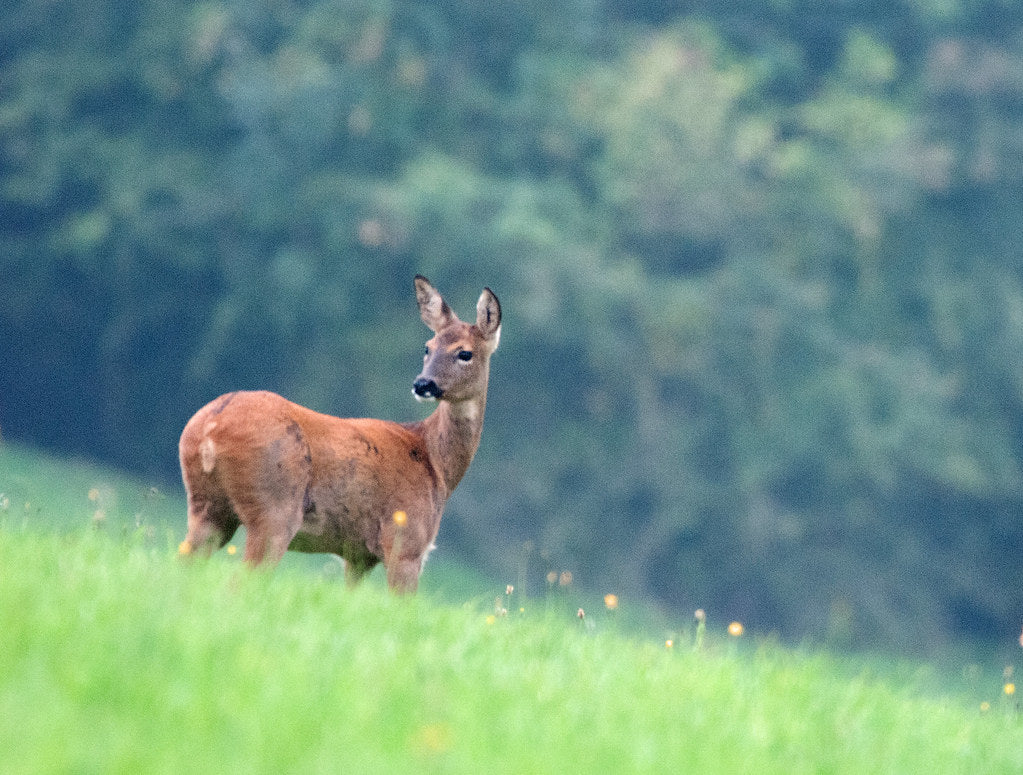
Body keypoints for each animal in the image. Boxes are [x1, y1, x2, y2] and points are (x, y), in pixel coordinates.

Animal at [178, 276, 501, 593]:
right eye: (428, 347)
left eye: (465, 353)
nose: (423, 384)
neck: (435, 461)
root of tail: (210, 427)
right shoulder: (406, 541)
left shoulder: (358, 555)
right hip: (274, 507)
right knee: (239, 581)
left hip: (207, 505)